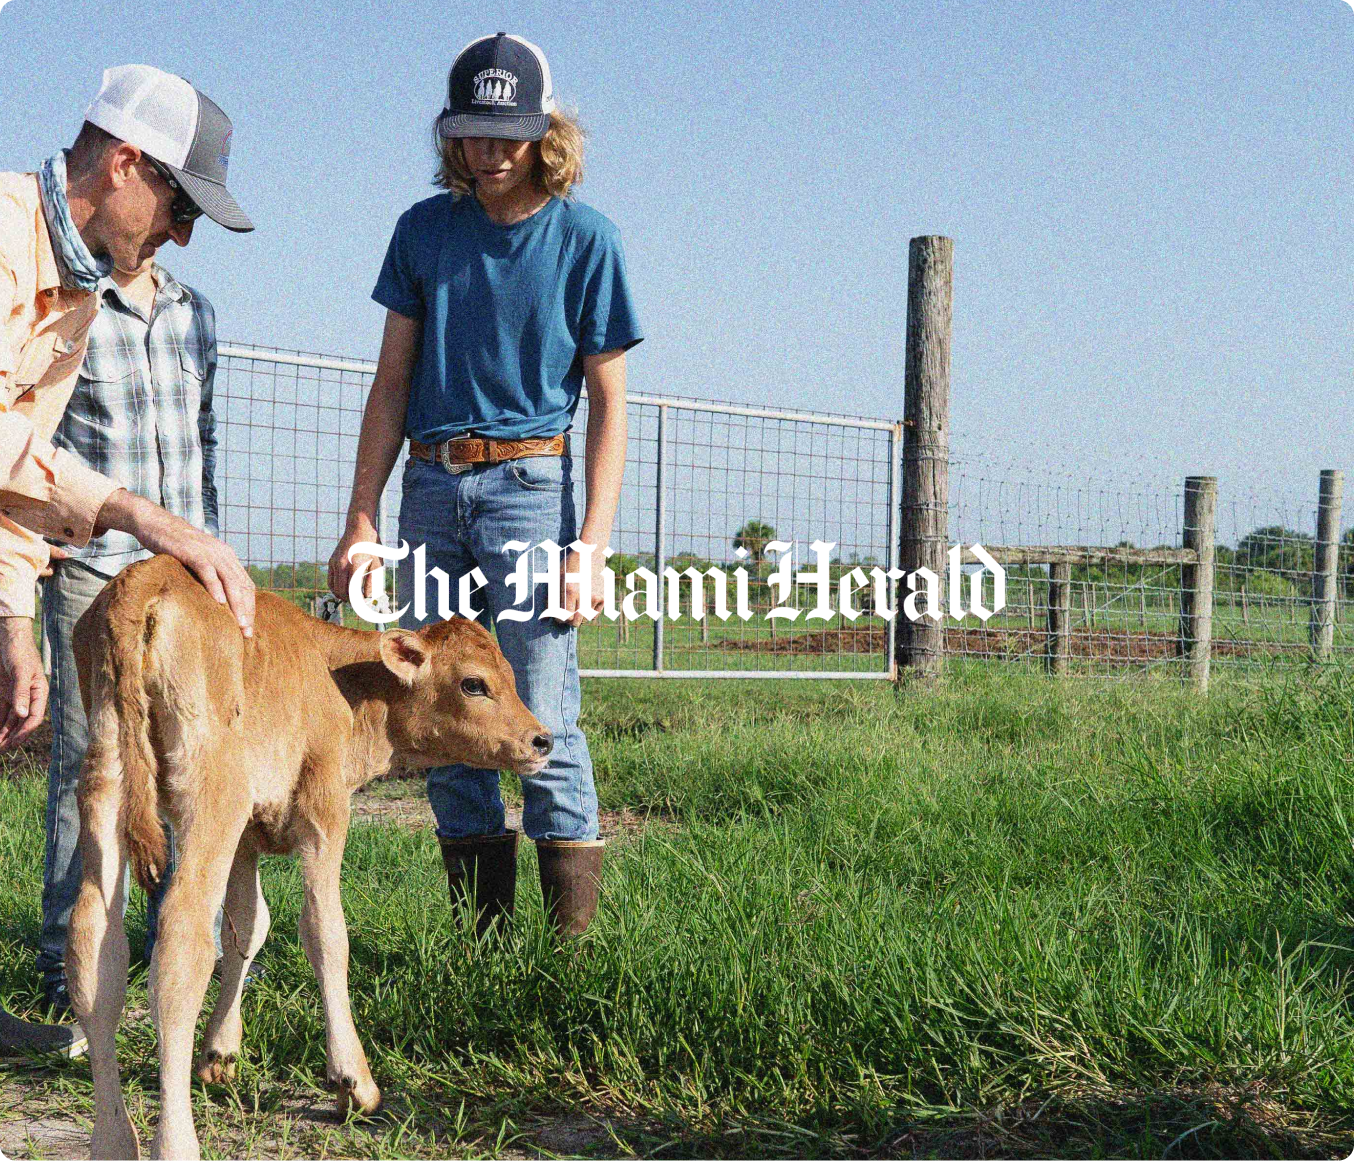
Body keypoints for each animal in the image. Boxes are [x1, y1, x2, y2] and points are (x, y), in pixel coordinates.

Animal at [63, 552, 549, 1159]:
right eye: (474, 684)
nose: (541, 740)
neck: (342, 681)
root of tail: (149, 577)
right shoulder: (324, 813)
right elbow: (325, 932)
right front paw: (353, 1081)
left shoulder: (246, 838)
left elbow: (247, 926)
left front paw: (221, 1053)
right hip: (212, 795)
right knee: (180, 945)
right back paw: (175, 1140)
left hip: (106, 779)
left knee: (94, 949)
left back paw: (111, 1136)